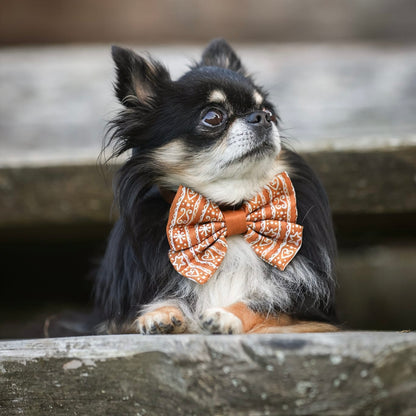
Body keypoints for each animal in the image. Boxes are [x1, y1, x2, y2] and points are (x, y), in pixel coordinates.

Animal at [94, 39, 338, 334]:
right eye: (212, 117)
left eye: (269, 112)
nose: (261, 117)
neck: (229, 211)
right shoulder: (112, 324)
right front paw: (160, 313)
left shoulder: (313, 316)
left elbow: (263, 305)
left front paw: (225, 314)